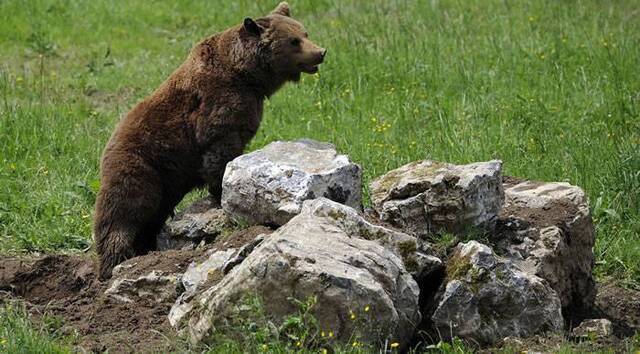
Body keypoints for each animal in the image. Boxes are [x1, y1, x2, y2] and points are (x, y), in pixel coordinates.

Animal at [92, 2, 328, 280]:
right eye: (293, 41)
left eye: (305, 33)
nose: (320, 52)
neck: (248, 76)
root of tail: (105, 149)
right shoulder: (219, 104)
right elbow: (219, 151)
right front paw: (220, 194)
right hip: (141, 166)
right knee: (124, 212)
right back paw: (114, 261)